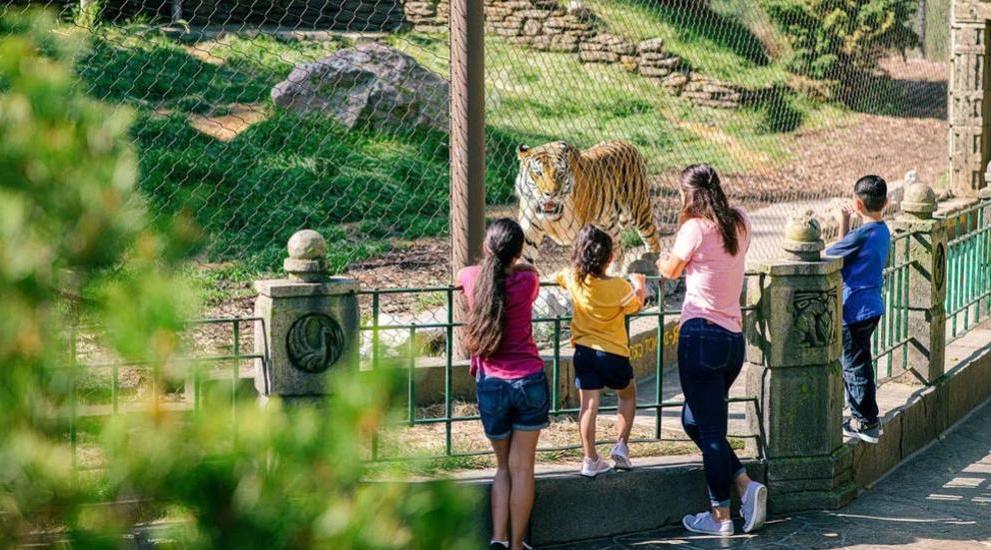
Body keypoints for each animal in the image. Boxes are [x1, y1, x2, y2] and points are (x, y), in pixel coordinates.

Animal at [512, 141, 668, 272]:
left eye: (560, 174)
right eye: (538, 173)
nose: (551, 194)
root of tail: (630, 144)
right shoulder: (530, 233)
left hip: (640, 211)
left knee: (653, 239)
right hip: (607, 224)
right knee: (619, 249)